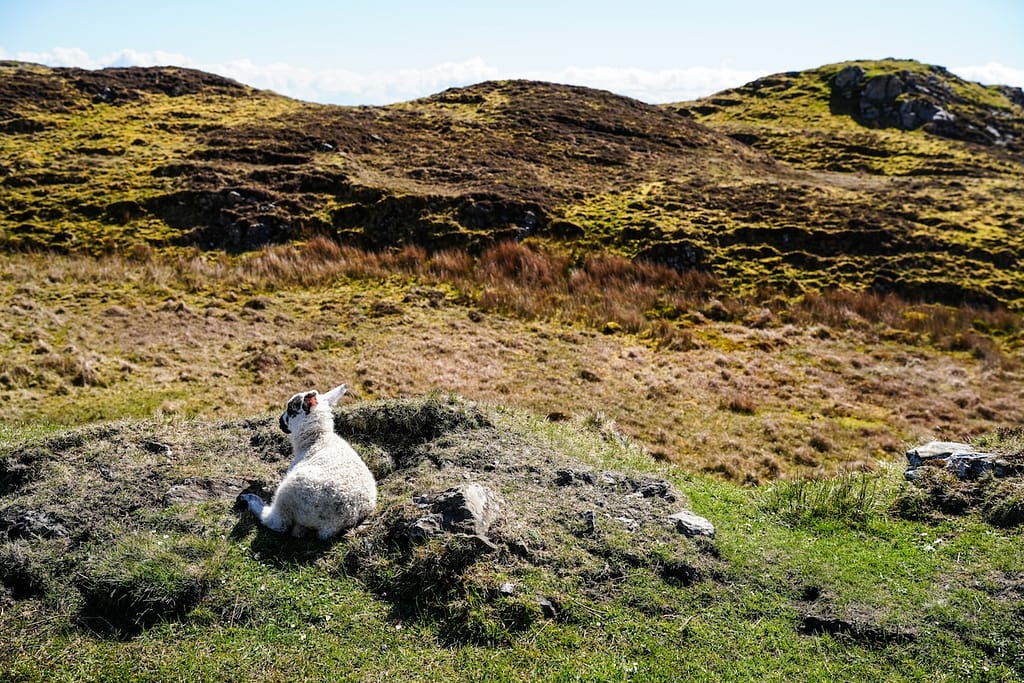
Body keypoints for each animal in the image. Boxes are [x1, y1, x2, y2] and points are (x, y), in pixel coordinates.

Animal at [239, 383, 377, 540]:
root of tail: (338, 520)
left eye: (290, 409)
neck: (316, 439)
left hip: (288, 495)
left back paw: (252, 500)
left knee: (278, 522)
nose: (280, 422)